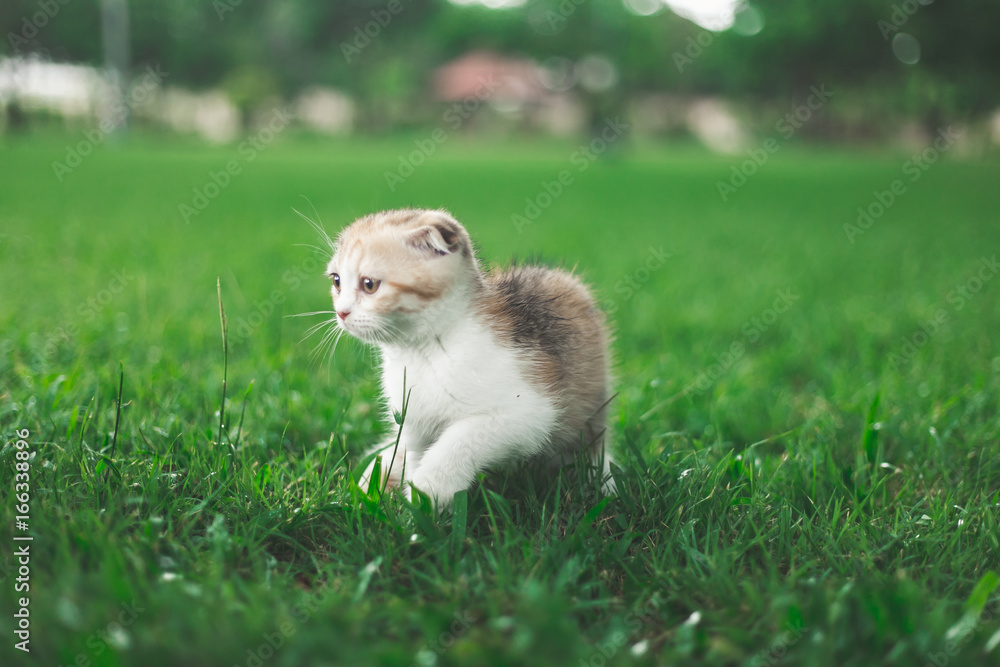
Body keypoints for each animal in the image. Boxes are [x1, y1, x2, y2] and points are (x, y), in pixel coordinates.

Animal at [324, 207, 612, 506]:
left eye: (369, 284)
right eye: (336, 281)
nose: (341, 312)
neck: (422, 351)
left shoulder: (530, 411)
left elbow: (463, 438)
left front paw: (428, 489)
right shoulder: (412, 420)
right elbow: (414, 452)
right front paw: (411, 500)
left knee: (592, 447)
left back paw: (602, 486)